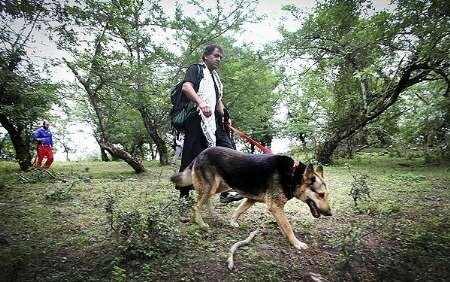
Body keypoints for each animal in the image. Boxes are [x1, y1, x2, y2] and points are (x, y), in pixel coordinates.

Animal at [169, 148, 330, 249]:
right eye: (321, 194)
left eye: (326, 195)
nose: (330, 213)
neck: (293, 175)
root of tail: (200, 153)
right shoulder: (275, 207)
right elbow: (288, 226)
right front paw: (296, 243)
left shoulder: (251, 200)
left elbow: (239, 210)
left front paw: (232, 222)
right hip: (212, 185)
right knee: (196, 205)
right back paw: (201, 223)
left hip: (220, 185)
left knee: (205, 199)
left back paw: (213, 214)